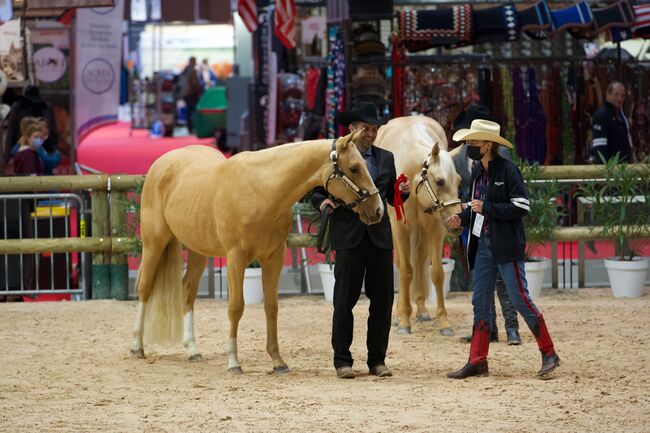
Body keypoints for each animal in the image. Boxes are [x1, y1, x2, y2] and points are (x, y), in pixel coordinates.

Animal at [133, 128, 384, 372]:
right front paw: (233, 362)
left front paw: (278, 361)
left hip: (198, 249)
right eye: (354, 168)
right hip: (155, 241)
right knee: (145, 287)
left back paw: (192, 350)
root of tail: (163, 162)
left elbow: (271, 307)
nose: (378, 210)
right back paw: (137, 347)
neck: (261, 190)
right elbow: (235, 307)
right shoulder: (236, 258)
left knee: (188, 290)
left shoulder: (274, 257)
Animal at [374, 116, 460, 336]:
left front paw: (444, 322)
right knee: (403, 264)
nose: (456, 221)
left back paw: (421, 310)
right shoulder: (400, 228)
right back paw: (398, 316)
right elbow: (406, 271)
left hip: (423, 230)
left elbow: (436, 273)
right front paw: (404, 321)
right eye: (440, 181)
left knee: (420, 259)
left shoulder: (436, 227)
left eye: (459, 181)